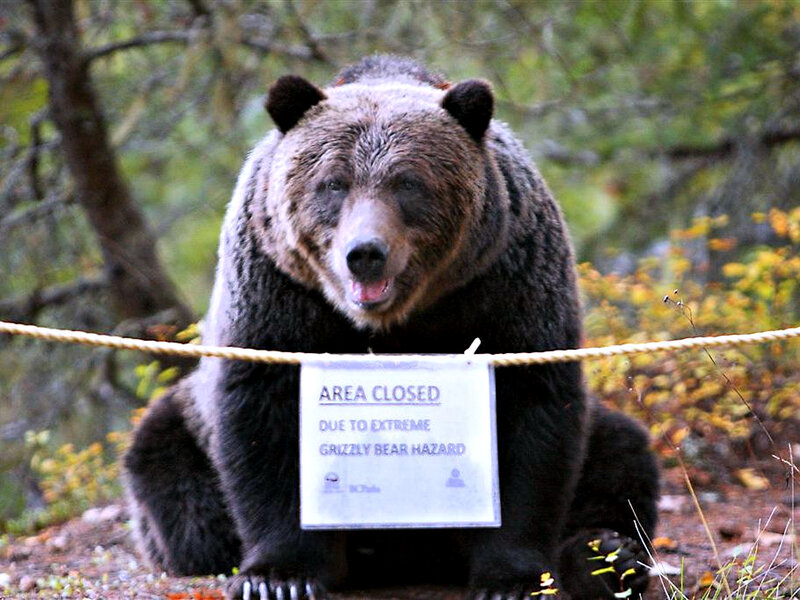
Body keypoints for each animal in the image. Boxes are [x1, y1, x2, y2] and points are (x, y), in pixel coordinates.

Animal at [123, 55, 659, 600]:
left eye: (408, 182)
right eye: (333, 182)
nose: (365, 253)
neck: (393, 319)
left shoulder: (506, 282)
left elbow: (533, 417)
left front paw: (513, 577)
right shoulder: (278, 292)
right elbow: (265, 420)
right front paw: (278, 576)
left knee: (621, 453)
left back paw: (606, 555)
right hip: (181, 437)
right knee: (176, 485)